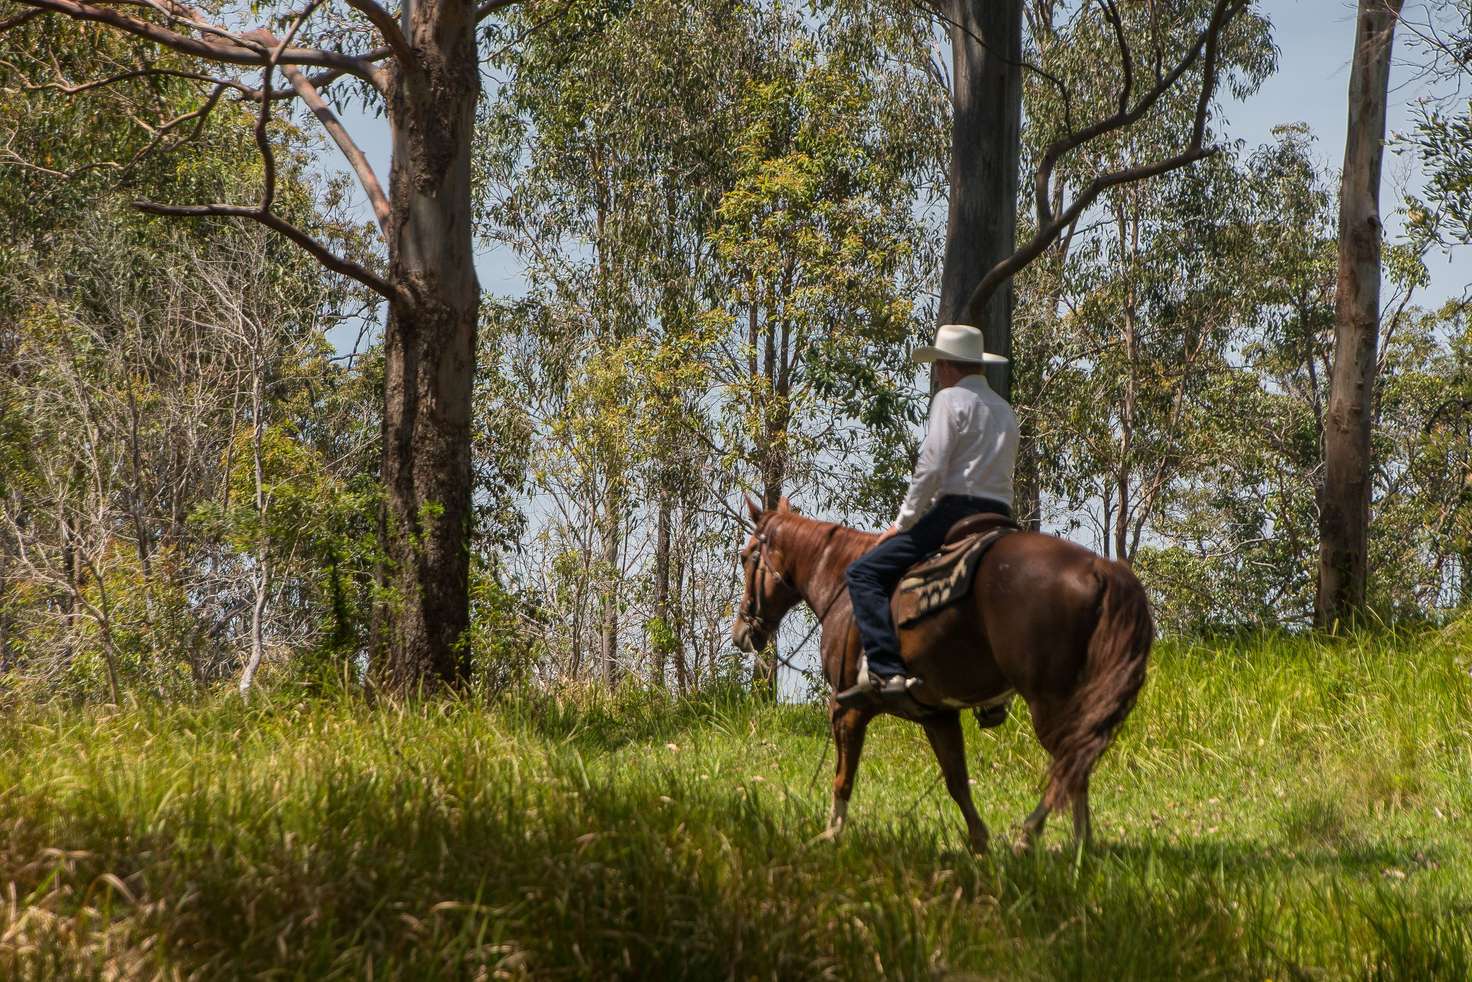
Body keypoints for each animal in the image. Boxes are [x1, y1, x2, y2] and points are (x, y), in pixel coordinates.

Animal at [730, 500, 1154, 853]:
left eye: (747, 556)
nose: (741, 633)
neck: (839, 584)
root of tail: (1101, 569)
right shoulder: (937, 714)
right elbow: (956, 781)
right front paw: (979, 842)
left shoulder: (847, 707)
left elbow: (842, 776)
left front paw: (831, 834)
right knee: (1077, 763)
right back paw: (1080, 844)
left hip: (1049, 701)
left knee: (1070, 759)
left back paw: (1031, 834)